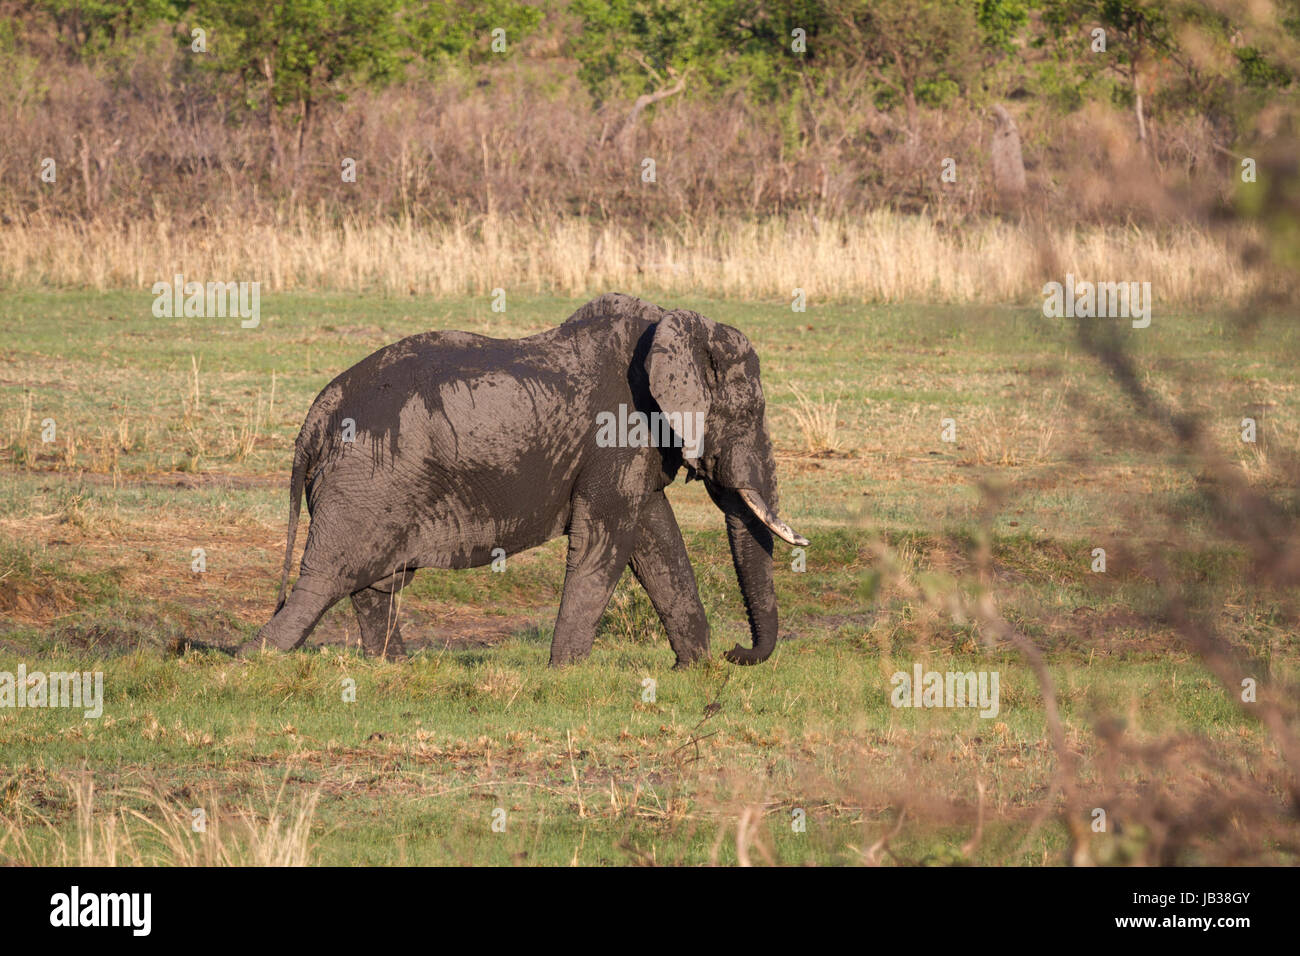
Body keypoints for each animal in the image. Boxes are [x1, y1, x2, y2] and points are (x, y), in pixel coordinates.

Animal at [233, 295, 800, 671]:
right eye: (748, 413)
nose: (737, 651)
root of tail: (314, 418)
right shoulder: (617, 435)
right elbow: (605, 543)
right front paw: (566, 676)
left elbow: (655, 540)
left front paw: (693, 671)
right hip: (366, 481)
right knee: (325, 582)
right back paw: (249, 663)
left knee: (374, 584)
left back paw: (394, 669)